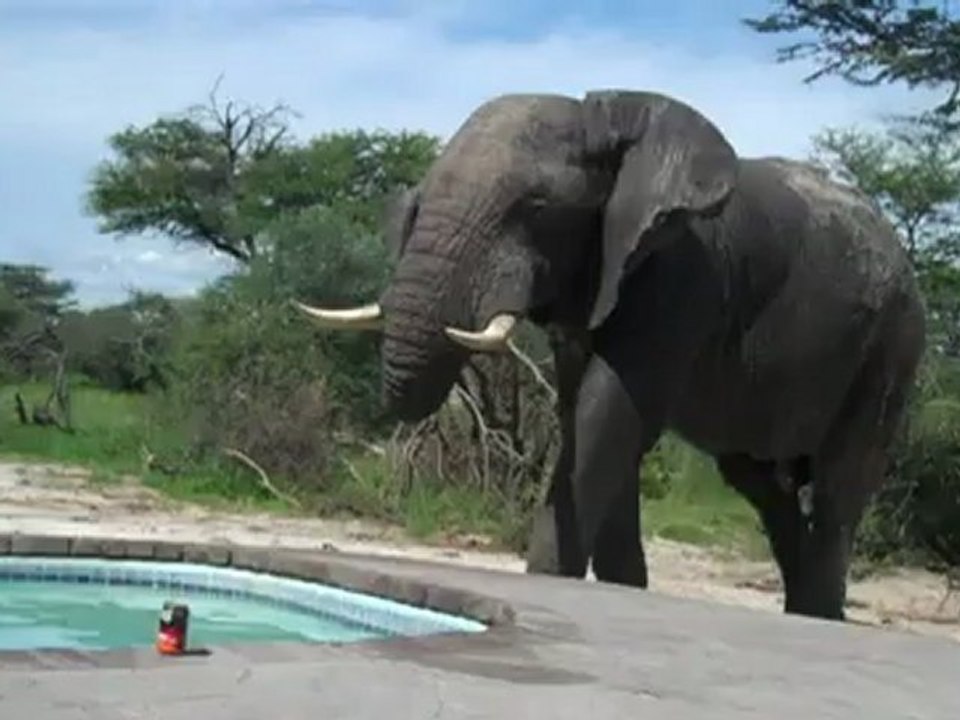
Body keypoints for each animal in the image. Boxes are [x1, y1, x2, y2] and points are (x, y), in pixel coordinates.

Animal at [295, 89, 926, 621]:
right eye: (419, 201)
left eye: (536, 205)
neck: (603, 120)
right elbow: (592, 419)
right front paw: (627, 588)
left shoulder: (682, 278)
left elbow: (609, 412)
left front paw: (552, 578)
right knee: (761, 483)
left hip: (892, 346)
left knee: (840, 484)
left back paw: (818, 616)